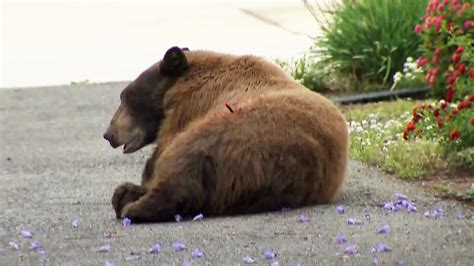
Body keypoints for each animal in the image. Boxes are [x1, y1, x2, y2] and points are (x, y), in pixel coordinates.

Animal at [103, 46, 348, 222]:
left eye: (125, 97)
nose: (108, 134)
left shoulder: (188, 110)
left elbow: (158, 157)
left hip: (225, 136)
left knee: (182, 163)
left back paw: (131, 205)